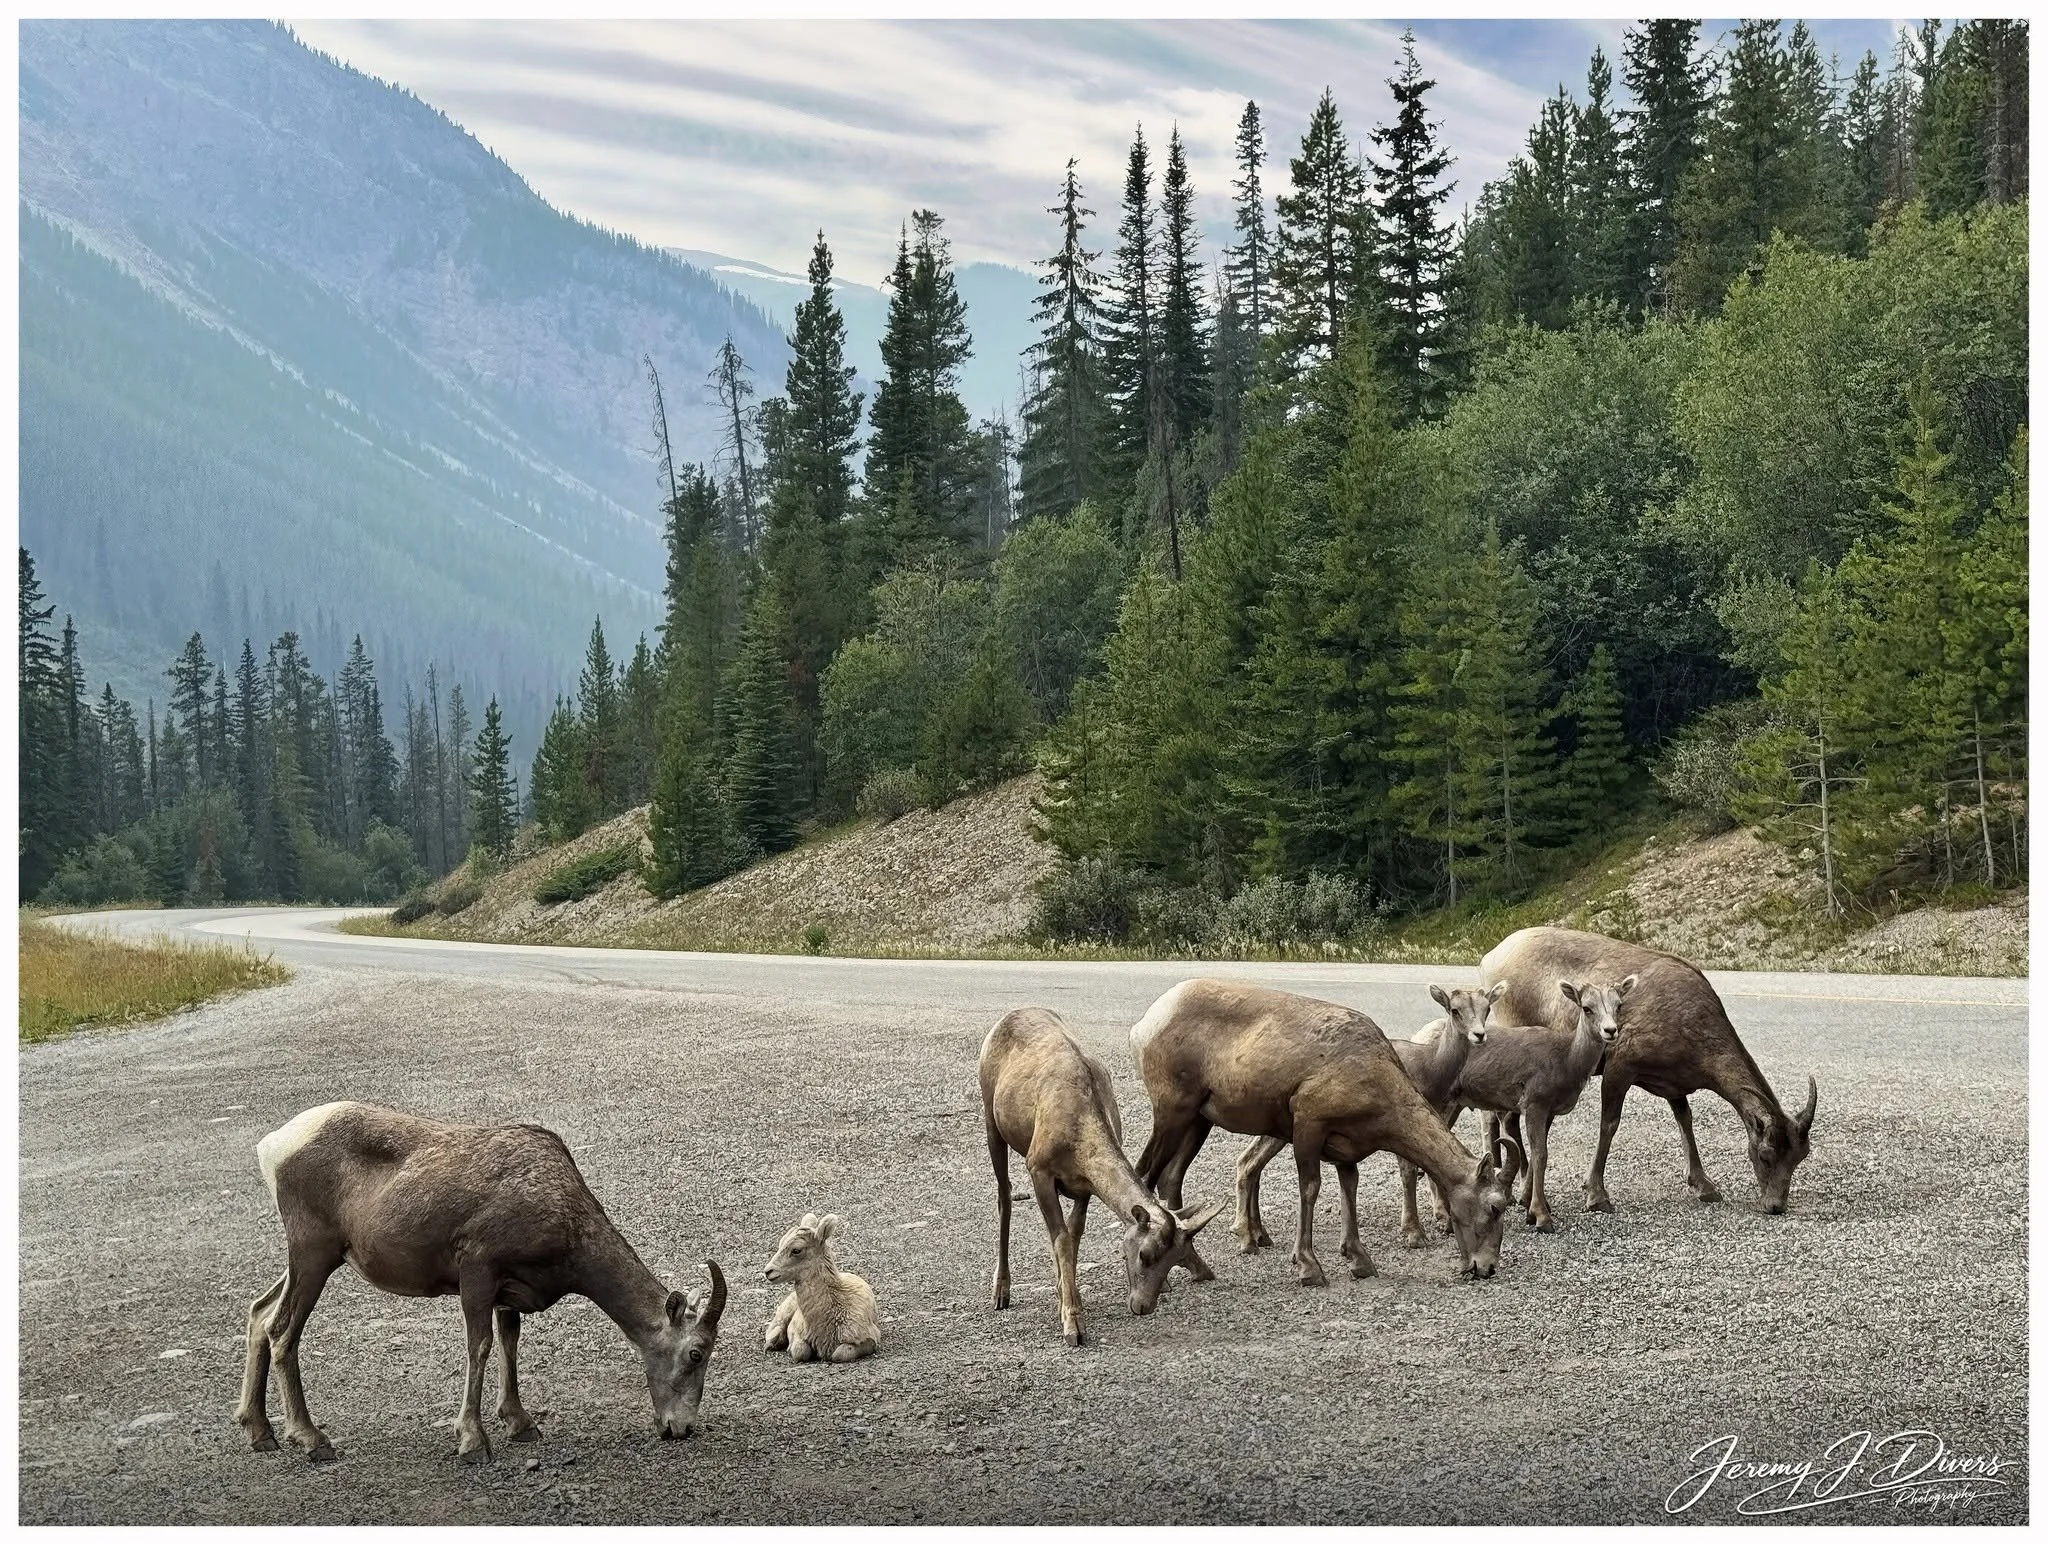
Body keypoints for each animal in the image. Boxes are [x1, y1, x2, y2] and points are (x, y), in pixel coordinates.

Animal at [234, 1101, 726, 1464]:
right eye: (695, 1353)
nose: (680, 1429)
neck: (560, 1211)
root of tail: (274, 1146)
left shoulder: (508, 1292)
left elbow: (510, 1343)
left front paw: (522, 1425)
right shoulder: (477, 1272)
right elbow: (481, 1346)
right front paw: (473, 1442)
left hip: (313, 1260)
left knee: (259, 1313)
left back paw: (261, 1435)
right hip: (313, 1255)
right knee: (282, 1331)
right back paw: (312, 1441)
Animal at [763, 1213, 880, 1363]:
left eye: (796, 1250)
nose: (768, 1272)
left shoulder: (869, 1340)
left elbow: (839, 1354)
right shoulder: (795, 1332)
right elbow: (800, 1352)